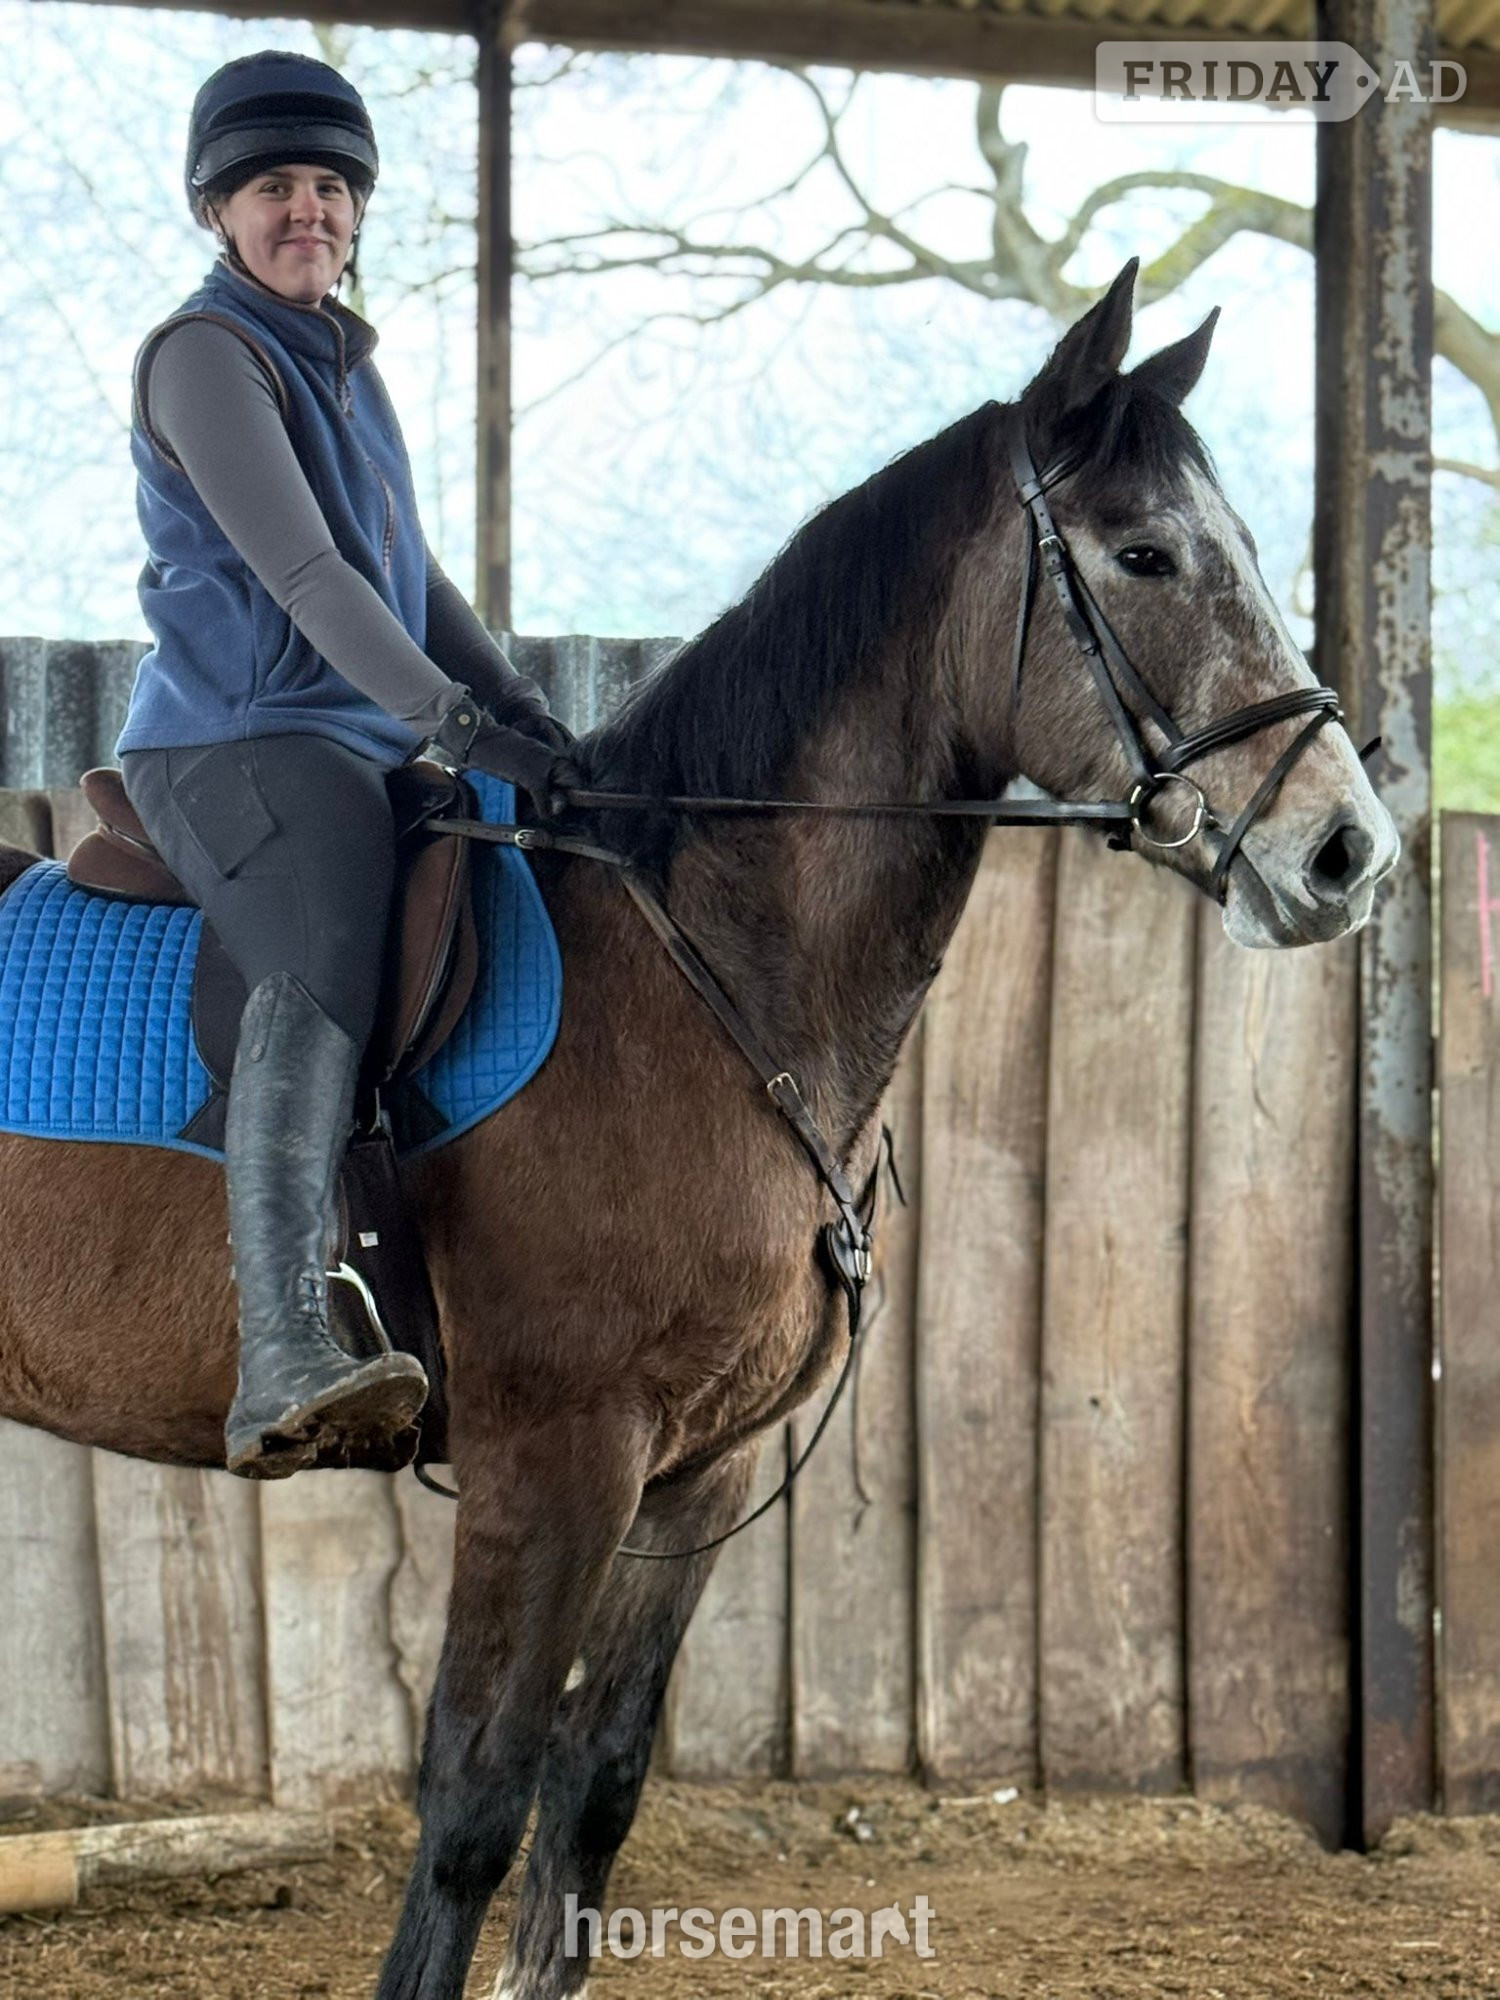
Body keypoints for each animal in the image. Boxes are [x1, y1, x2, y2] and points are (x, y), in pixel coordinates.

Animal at [0, 261, 1396, 2000]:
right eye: (1145, 553)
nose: (1348, 853)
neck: (695, 969)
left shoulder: (700, 1474)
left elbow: (592, 1796)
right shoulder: (555, 1459)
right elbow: (474, 1799)